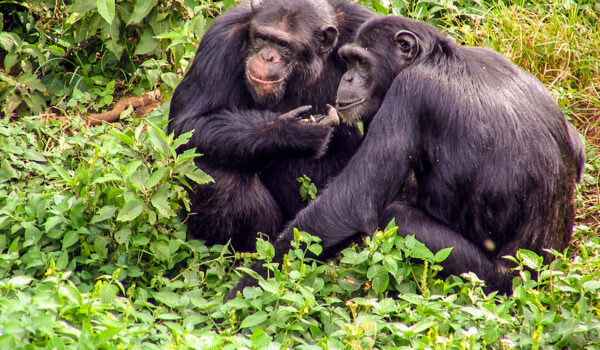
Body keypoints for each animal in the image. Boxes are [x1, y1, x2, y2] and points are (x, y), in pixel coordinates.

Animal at [169, 0, 372, 252]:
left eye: (284, 45)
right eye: (262, 38)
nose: (267, 56)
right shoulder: (220, 40)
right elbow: (188, 124)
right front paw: (294, 131)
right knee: (211, 171)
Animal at [232, 16, 584, 296]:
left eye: (360, 62)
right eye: (347, 61)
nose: (347, 78)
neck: (434, 58)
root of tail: (542, 277)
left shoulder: (409, 92)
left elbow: (349, 203)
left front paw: (249, 290)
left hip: (489, 280)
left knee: (398, 217)